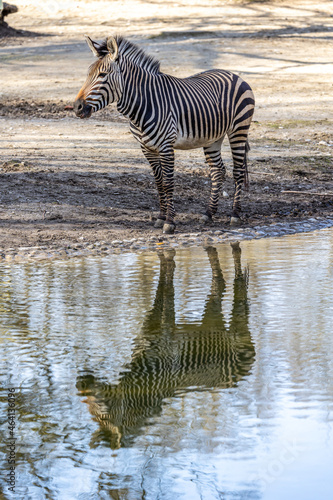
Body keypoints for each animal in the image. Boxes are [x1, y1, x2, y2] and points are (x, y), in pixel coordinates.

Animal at [74, 35, 254, 234]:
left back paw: (235, 215)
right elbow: (159, 182)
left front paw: (169, 222)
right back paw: (208, 213)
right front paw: (160, 218)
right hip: (213, 137)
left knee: (238, 171)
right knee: (218, 170)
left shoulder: (166, 146)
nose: (76, 107)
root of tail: (233, 74)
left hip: (238, 129)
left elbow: (168, 183)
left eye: (102, 75)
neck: (143, 105)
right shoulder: (147, 148)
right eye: (87, 75)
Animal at [76, 245, 253, 450]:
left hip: (236, 329)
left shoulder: (166, 337)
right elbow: (159, 292)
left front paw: (168, 261)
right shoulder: (148, 329)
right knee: (219, 284)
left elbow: (167, 292)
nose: (79, 384)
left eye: (101, 412)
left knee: (236, 289)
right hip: (212, 321)